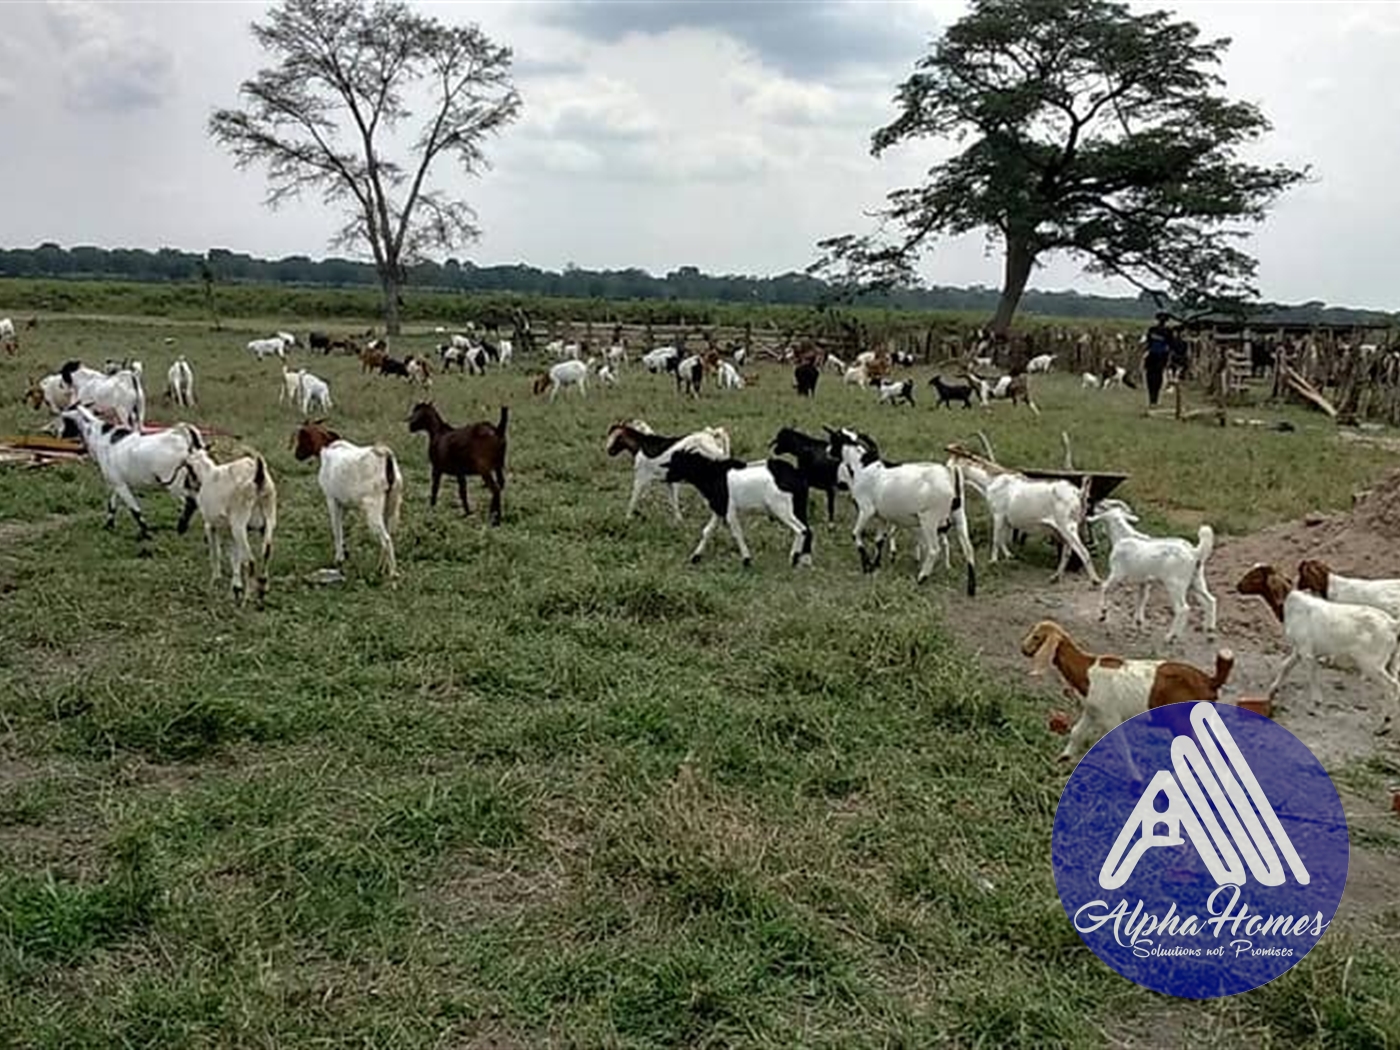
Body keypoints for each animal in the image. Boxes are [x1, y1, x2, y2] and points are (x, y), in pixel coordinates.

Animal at [58, 406, 203, 543]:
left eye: (66, 419)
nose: (56, 433)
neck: (102, 439)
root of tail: (184, 441)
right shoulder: (115, 483)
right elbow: (112, 505)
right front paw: (108, 527)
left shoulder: (120, 485)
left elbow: (134, 509)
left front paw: (146, 533)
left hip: (175, 484)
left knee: (190, 502)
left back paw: (181, 528)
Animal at [663, 450, 817, 571]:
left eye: (676, 463)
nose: (666, 479)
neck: (713, 475)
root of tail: (797, 475)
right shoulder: (719, 510)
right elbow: (707, 531)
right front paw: (695, 557)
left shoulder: (729, 510)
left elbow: (737, 534)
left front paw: (746, 560)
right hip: (797, 507)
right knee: (808, 529)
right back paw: (806, 561)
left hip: (781, 508)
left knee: (801, 529)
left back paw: (793, 558)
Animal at [823, 425, 980, 593]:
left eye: (834, 439)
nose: (827, 451)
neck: (862, 466)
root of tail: (950, 474)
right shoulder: (882, 516)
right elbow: (879, 540)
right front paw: (875, 565)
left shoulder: (866, 510)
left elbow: (855, 534)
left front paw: (866, 566)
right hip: (959, 514)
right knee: (968, 548)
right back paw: (971, 587)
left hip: (929, 519)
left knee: (933, 549)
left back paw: (922, 578)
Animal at [1092, 498, 1215, 641]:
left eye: (1103, 507)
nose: (1095, 504)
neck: (1122, 537)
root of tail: (1194, 553)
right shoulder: (1144, 581)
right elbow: (1141, 599)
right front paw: (1138, 623)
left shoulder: (1117, 573)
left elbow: (1104, 587)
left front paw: (1102, 613)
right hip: (1197, 580)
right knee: (1210, 600)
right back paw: (1210, 631)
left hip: (1175, 584)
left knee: (1183, 608)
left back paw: (1171, 637)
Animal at [1237, 562, 1400, 722]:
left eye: (1255, 577)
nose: (1238, 586)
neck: (1290, 606)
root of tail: (1392, 624)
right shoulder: (1299, 648)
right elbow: (1286, 666)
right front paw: (1272, 690)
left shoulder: (1307, 651)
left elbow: (1312, 675)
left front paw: (1316, 703)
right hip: (1390, 659)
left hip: (1371, 662)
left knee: (1391, 685)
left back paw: (1384, 721)